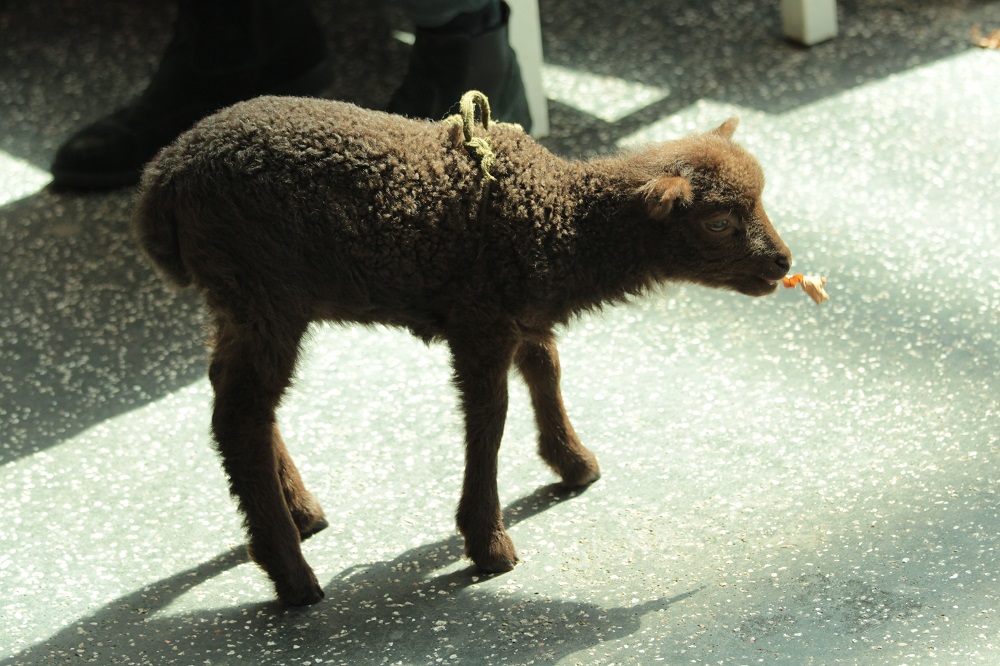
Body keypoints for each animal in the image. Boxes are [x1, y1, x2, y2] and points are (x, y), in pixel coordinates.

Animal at [133, 91, 792, 604]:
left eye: (761, 198)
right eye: (718, 222)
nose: (784, 264)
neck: (561, 219)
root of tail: (161, 178)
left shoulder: (516, 310)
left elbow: (545, 368)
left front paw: (572, 463)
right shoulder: (479, 321)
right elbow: (488, 419)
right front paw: (487, 542)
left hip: (239, 301)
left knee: (234, 395)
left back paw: (301, 513)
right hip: (264, 292)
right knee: (240, 416)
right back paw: (292, 575)